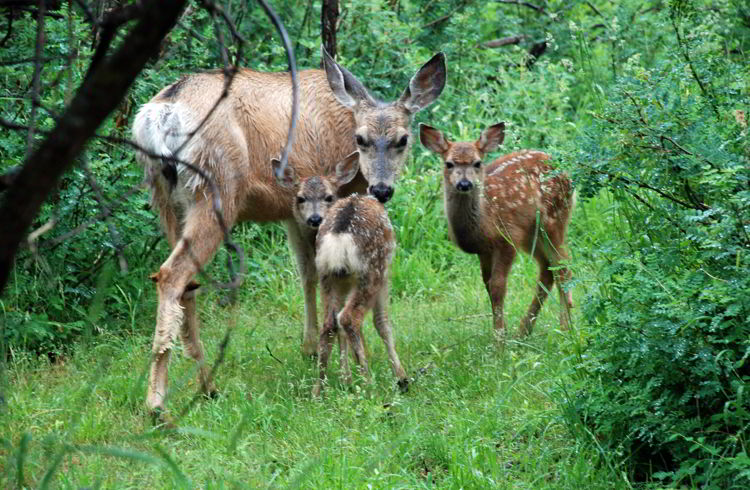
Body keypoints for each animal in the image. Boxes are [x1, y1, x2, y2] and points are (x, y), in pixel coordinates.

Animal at [133, 47, 446, 416]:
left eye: (402, 140)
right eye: (361, 139)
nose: (382, 189)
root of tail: (161, 114)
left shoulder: (295, 211)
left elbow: (306, 272)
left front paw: (309, 348)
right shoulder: (323, 202)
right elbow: (326, 284)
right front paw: (342, 365)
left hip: (165, 200)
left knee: (186, 284)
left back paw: (207, 386)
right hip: (216, 189)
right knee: (172, 275)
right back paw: (156, 403)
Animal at [424, 122, 576, 336]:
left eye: (477, 163)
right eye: (449, 164)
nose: (464, 184)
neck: (484, 221)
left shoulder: (508, 238)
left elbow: (498, 286)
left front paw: (499, 337)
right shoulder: (484, 250)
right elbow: (487, 284)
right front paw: (501, 333)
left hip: (554, 220)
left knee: (563, 267)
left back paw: (565, 328)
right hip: (532, 234)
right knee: (548, 269)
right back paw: (524, 330)